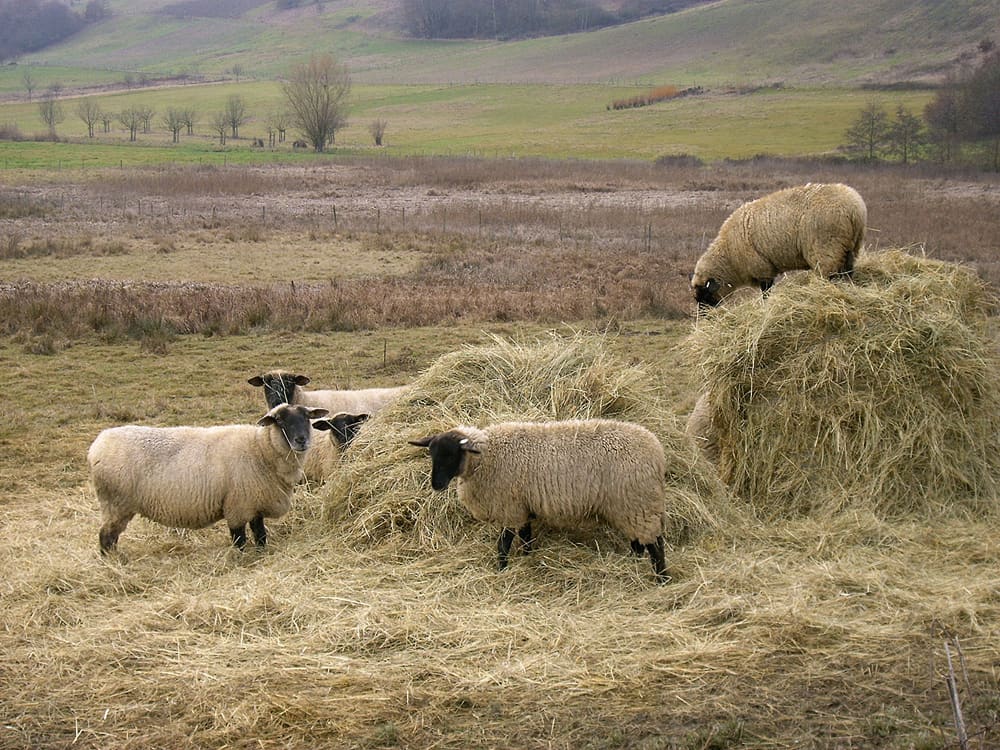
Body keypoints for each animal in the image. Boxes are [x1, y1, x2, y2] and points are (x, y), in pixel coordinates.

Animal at [88, 403, 328, 554]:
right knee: (106, 537)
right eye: (279, 420)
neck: (260, 449)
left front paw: (261, 554)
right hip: (115, 503)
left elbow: (260, 534)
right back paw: (113, 563)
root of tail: (96, 446)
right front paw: (241, 558)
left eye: (307, 417)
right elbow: (239, 539)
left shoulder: (254, 503)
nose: (301, 440)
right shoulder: (237, 505)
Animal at [409, 419, 670, 582]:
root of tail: (657, 452)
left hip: (638, 501)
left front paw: (501, 570)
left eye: (452, 454)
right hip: (630, 505)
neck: (487, 457)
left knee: (655, 544)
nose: (436, 485)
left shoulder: (509, 507)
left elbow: (503, 545)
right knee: (639, 540)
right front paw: (527, 558)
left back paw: (662, 579)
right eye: (432, 454)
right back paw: (634, 563)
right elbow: (526, 536)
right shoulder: (523, 505)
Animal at [690, 182, 867, 307]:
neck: (729, 256)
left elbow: (766, 293)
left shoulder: (762, 269)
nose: (705, 317)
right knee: (848, 272)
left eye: (704, 294)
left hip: (827, 248)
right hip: (850, 247)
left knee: (830, 276)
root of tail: (855, 210)